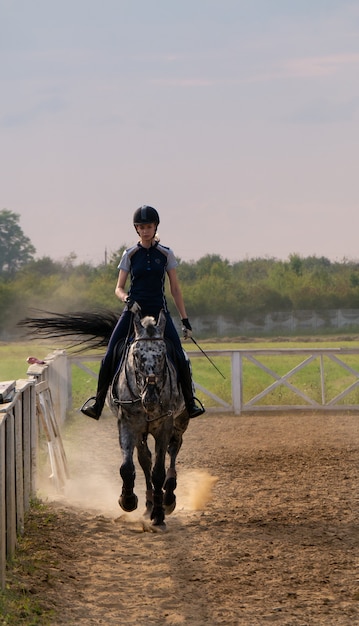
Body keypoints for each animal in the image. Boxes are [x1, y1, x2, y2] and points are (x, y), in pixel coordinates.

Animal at [19, 308, 191, 528]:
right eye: (136, 354)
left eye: (162, 354)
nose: (150, 398)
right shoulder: (127, 424)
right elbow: (127, 467)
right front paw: (128, 500)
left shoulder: (164, 425)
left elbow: (159, 471)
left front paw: (159, 515)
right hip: (142, 432)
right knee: (145, 460)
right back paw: (148, 504)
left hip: (180, 423)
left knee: (173, 451)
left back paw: (168, 498)